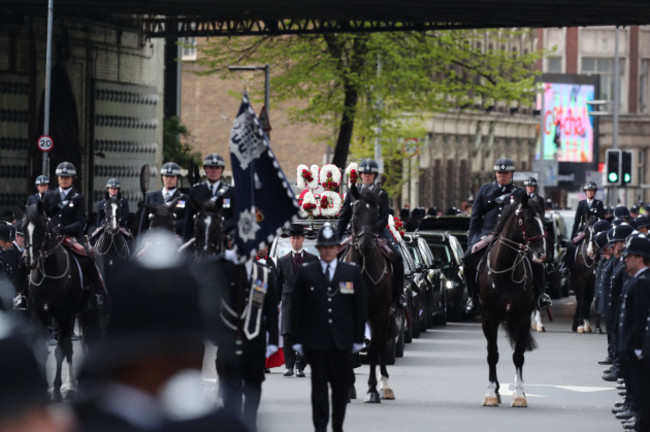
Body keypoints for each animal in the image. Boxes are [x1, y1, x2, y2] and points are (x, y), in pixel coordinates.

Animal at [22, 202, 95, 402]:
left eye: (40, 229)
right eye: (23, 229)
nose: (30, 260)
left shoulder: (65, 314)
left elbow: (60, 350)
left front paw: (55, 389)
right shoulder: (38, 315)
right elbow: (41, 350)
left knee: (72, 344)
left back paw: (69, 385)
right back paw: (69, 384)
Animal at [478, 194, 544, 406]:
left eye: (543, 219)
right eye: (528, 220)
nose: (541, 254)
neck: (506, 271)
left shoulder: (522, 318)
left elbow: (518, 356)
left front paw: (519, 395)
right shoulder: (490, 318)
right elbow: (492, 355)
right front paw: (491, 393)